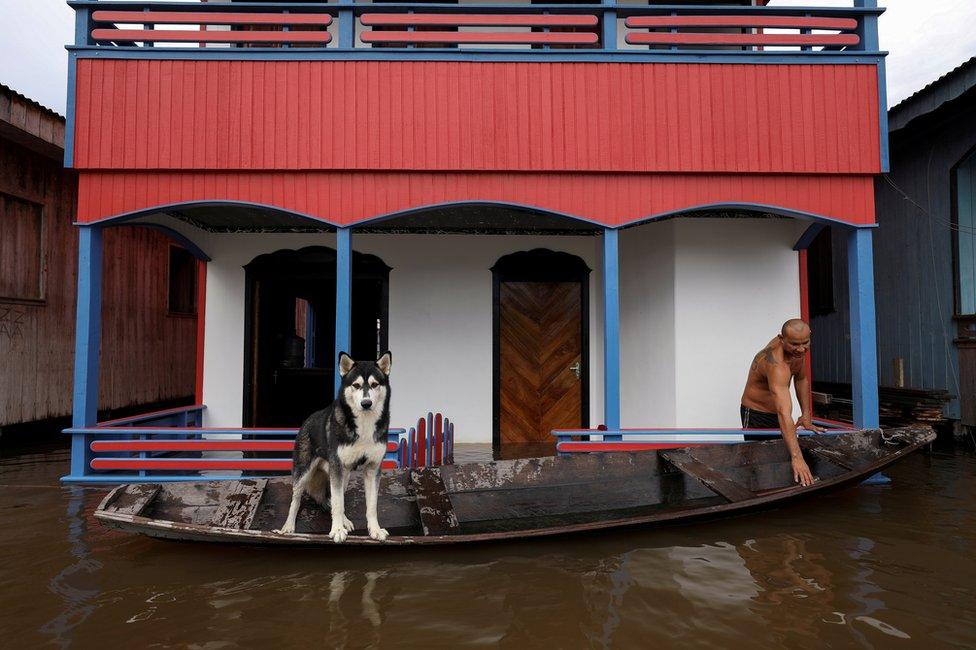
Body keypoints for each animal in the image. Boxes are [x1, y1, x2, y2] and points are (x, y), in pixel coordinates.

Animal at [272, 352, 390, 540]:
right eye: (356, 385)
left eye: (374, 384)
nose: (366, 403)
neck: (364, 425)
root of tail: (307, 421)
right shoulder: (337, 467)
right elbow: (337, 503)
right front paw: (337, 530)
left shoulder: (373, 468)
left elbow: (371, 505)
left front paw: (375, 529)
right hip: (304, 472)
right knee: (296, 500)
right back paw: (288, 527)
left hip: (344, 474)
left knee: (333, 498)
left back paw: (345, 520)